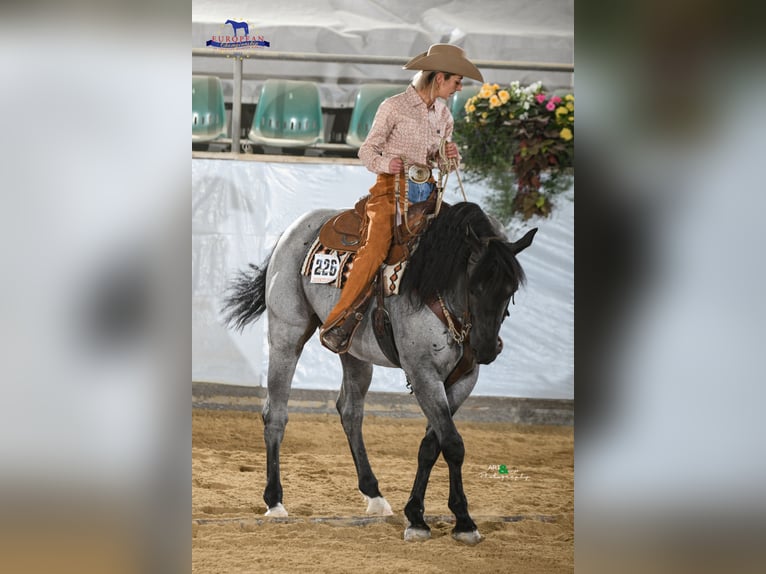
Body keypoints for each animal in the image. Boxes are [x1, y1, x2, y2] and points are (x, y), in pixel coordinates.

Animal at [222, 201, 536, 544]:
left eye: (511, 289)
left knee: (350, 412)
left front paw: (418, 516)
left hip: (354, 353)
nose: (487, 348)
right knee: (276, 413)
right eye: (475, 286)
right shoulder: (422, 373)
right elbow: (452, 443)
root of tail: (293, 228)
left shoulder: (463, 380)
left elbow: (432, 445)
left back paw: (373, 494)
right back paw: (275, 501)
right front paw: (462, 522)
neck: (438, 288)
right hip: (286, 336)